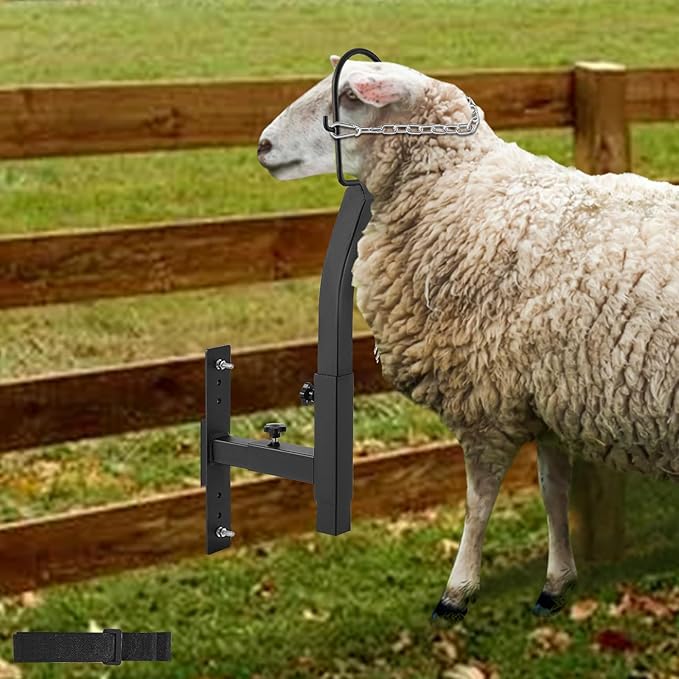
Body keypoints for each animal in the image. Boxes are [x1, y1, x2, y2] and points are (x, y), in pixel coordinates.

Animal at [257, 55, 679, 622]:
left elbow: (479, 502)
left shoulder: (486, 401)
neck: (459, 192)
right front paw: (557, 581)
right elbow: (553, 491)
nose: (264, 145)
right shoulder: (541, 397)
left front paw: (457, 592)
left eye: (348, 96)